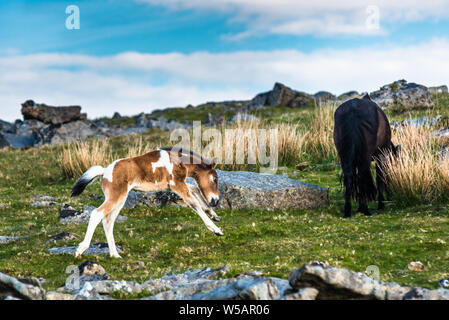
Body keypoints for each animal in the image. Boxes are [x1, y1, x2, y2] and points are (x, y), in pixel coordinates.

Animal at [70, 147, 222, 258]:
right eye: (214, 179)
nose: (216, 200)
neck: (180, 162)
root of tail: (105, 171)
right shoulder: (177, 184)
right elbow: (194, 204)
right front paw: (216, 230)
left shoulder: (176, 186)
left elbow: (195, 189)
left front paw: (214, 215)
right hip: (116, 196)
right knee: (96, 214)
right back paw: (80, 250)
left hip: (120, 199)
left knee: (108, 222)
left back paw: (114, 255)